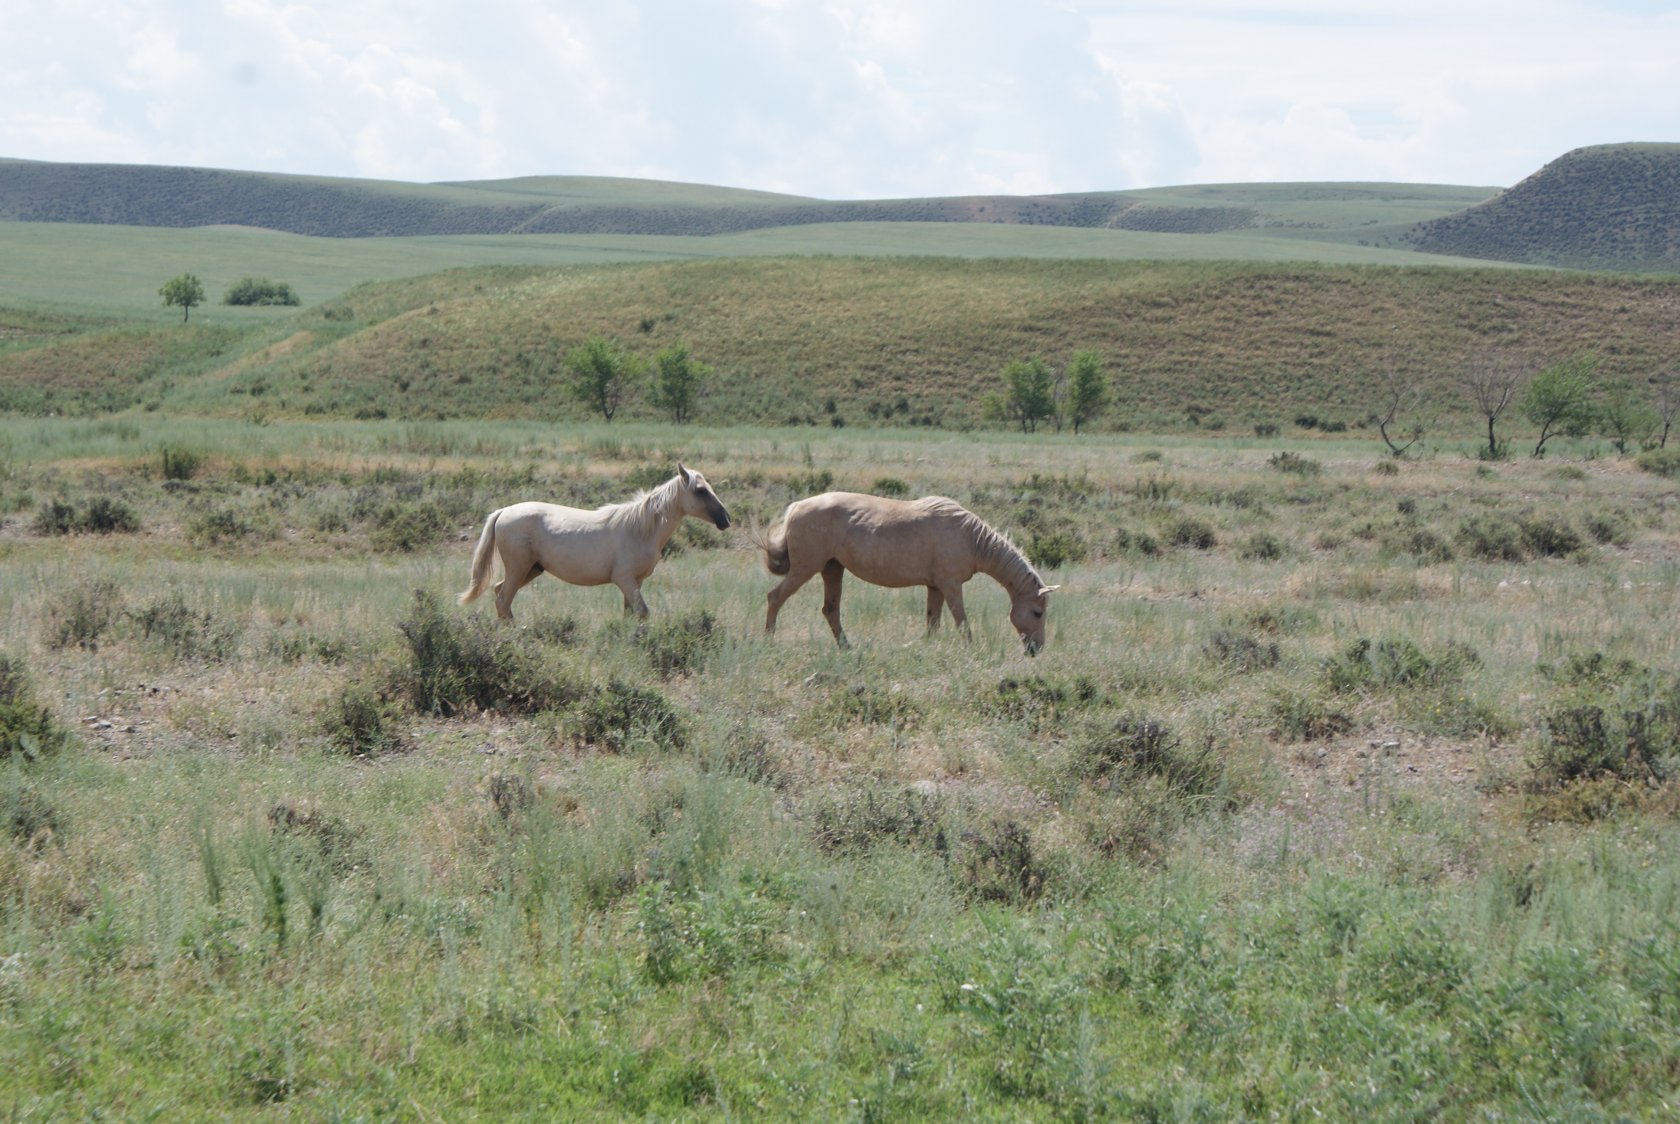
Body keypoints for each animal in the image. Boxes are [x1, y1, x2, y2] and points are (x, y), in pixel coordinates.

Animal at [460, 463, 729, 621]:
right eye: (700, 490)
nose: (725, 519)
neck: (640, 529)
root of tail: (503, 511)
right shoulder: (624, 579)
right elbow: (642, 612)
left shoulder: (636, 582)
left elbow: (630, 614)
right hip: (519, 568)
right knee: (503, 599)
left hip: (531, 570)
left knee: (499, 594)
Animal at [766, 487, 1055, 651]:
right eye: (1038, 613)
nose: (1036, 649)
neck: (970, 539)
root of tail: (797, 506)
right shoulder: (950, 585)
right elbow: (961, 620)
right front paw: (971, 649)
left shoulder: (935, 587)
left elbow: (932, 621)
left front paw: (927, 646)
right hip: (806, 568)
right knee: (775, 597)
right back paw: (769, 639)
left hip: (832, 569)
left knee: (830, 610)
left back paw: (847, 646)